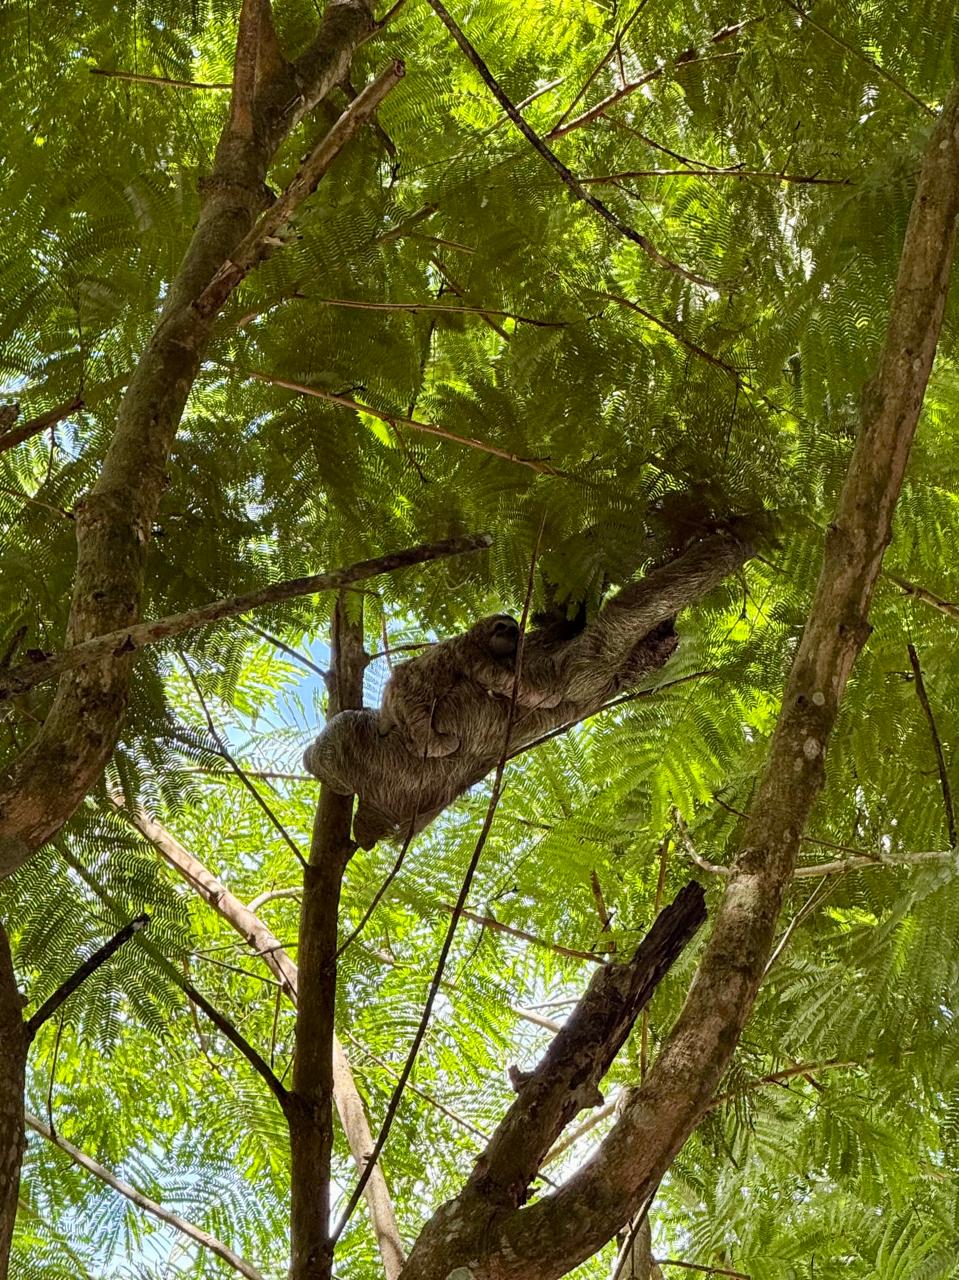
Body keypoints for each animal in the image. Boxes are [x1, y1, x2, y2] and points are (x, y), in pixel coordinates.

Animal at [303, 527, 755, 848]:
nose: (669, 635)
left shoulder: (584, 666)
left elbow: (622, 615)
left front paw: (732, 542)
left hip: (378, 758)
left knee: (338, 738)